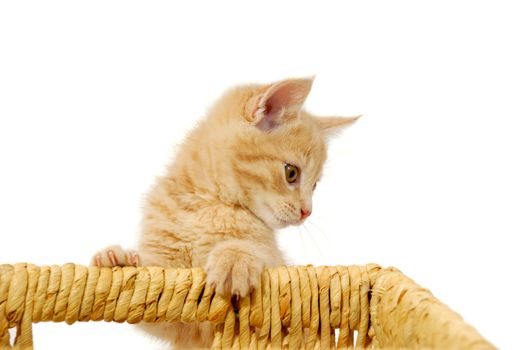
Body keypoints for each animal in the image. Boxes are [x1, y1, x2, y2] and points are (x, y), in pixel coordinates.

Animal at [93, 76, 360, 348]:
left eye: (314, 185)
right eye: (291, 173)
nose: (307, 211)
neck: (207, 204)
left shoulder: (277, 280)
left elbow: (261, 261)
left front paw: (234, 258)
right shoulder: (174, 313)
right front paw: (120, 261)